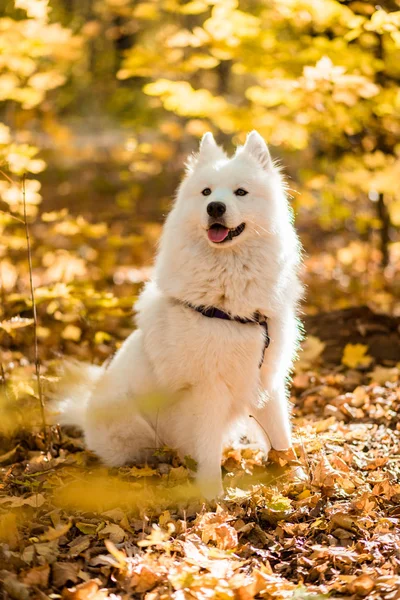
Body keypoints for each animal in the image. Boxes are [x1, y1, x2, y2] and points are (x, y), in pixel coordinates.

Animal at [57, 134, 304, 500]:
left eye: (240, 192)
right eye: (206, 192)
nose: (215, 207)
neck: (227, 296)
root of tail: (85, 415)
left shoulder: (266, 377)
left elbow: (280, 434)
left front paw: (297, 477)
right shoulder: (207, 389)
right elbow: (208, 449)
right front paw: (213, 495)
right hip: (132, 427)